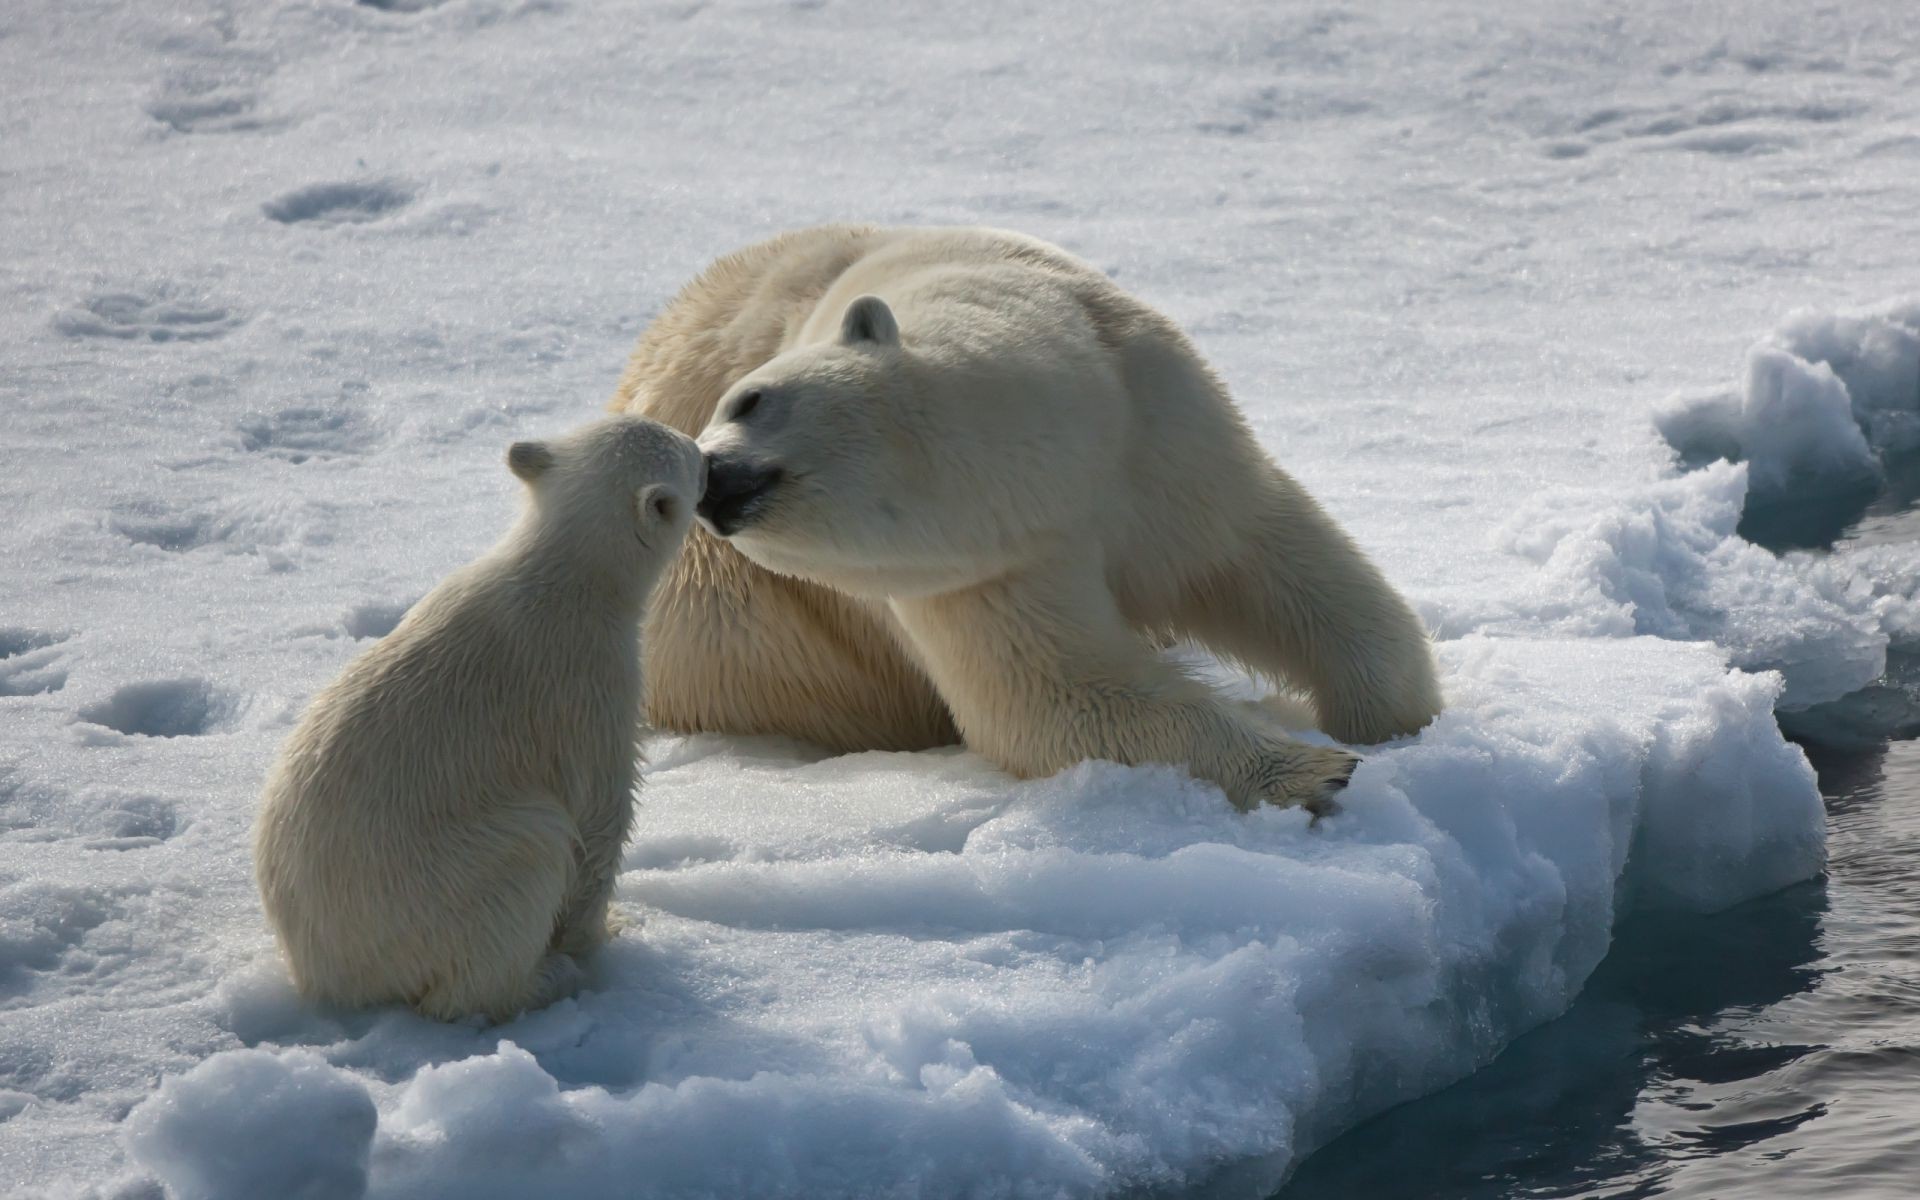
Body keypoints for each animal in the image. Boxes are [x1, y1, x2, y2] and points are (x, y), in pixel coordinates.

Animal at [255, 414, 702, 1021]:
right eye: (685, 452)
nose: (707, 450)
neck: (564, 577)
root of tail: (329, 978)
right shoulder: (591, 683)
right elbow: (599, 815)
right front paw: (600, 933)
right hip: (444, 884)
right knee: (525, 860)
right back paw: (543, 979)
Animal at [614, 224, 1443, 806]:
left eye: (751, 399)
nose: (710, 481)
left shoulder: (1156, 431)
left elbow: (1264, 560)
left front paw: (1392, 725)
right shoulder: (981, 574)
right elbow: (1058, 698)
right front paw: (1314, 768)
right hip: (731, 640)